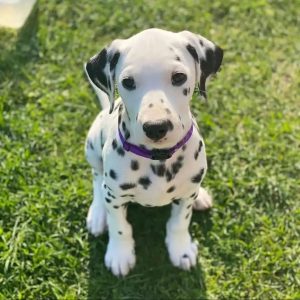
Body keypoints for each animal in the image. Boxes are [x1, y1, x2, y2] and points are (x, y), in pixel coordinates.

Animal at [84, 28, 223, 276]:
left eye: (179, 77)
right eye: (128, 82)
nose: (156, 127)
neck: (158, 158)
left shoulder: (185, 197)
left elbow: (179, 223)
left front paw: (181, 249)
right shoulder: (115, 196)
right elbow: (119, 226)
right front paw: (120, 254)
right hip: (92, 146)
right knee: (97, 179)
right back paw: (98, 214)